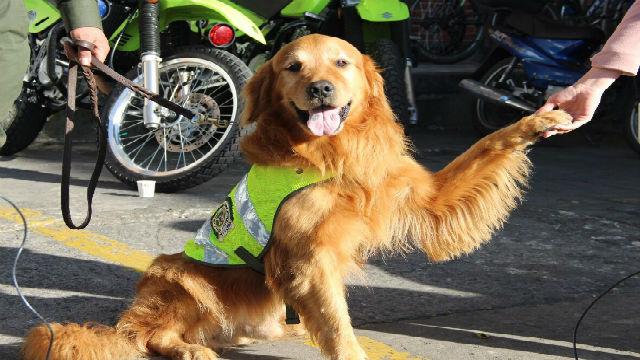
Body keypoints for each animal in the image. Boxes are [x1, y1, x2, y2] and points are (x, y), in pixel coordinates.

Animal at [21, 34, 568, 360]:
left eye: (342, 62)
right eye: (293, 67)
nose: (321, 88)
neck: (332, 154)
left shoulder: (423, 196)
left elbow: (485, 145)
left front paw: (538, 120)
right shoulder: (310, 256)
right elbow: (338, 323)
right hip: (177, 272)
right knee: (148, 335)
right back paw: (192, 349)